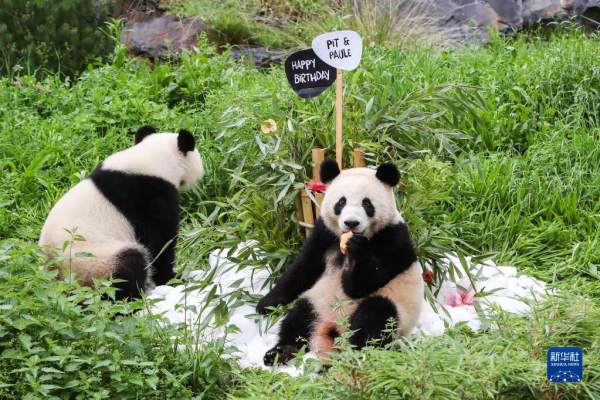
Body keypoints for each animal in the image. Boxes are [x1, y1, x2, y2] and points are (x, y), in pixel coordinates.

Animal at [39, 125, 204, 300]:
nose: (201, 173)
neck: (151, 159)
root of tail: (55, 273)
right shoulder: (150, 196)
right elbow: (160, 242)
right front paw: (172, 279)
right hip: (93, 260)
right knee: (128, 266)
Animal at [257, 160, 423, 365]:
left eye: (367, 203)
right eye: (341, 202)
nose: (351, 223)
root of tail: (333, 329)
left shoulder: (395, 239)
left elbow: (364, 283)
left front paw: (356, 251)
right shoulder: (324, 233)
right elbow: (302, 269)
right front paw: (266, 304)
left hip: (397, 310)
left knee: (374, 318)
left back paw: (351, 355)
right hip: (318, 301)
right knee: (299, 319)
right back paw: (281, 351)